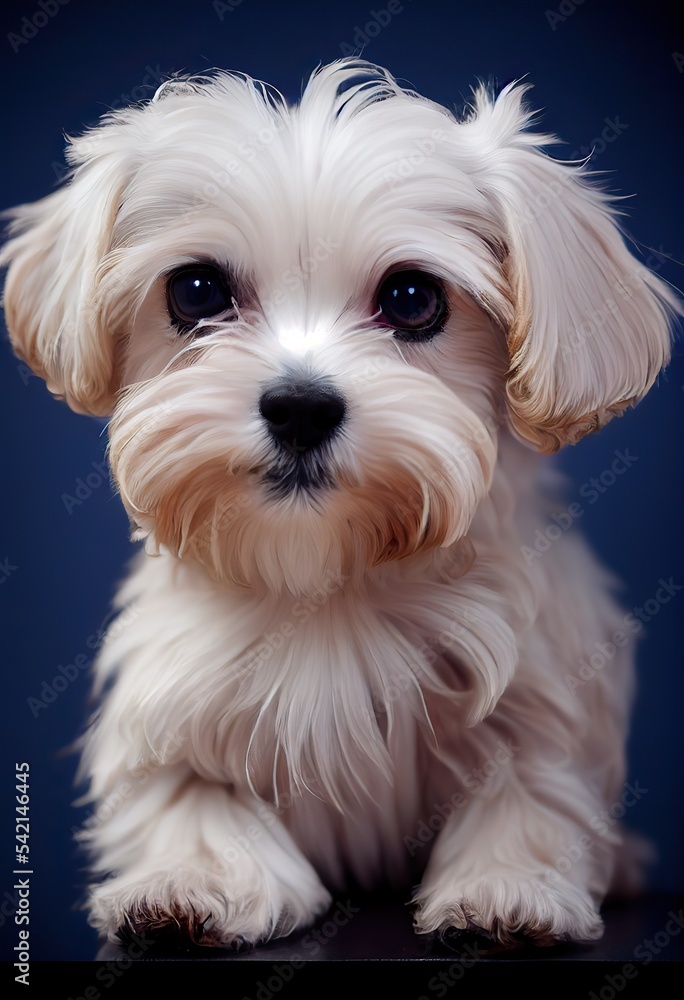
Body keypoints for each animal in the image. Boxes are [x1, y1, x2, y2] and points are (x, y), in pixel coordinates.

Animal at [1, 58, 680, 948]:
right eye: (196, 290)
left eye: (413, 298)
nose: (300, 407)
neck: (326, 576)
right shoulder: (170, 707)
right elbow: (191, 800)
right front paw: (190, 881)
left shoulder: (543, 698)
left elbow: (529, 790)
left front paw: (507, 886)